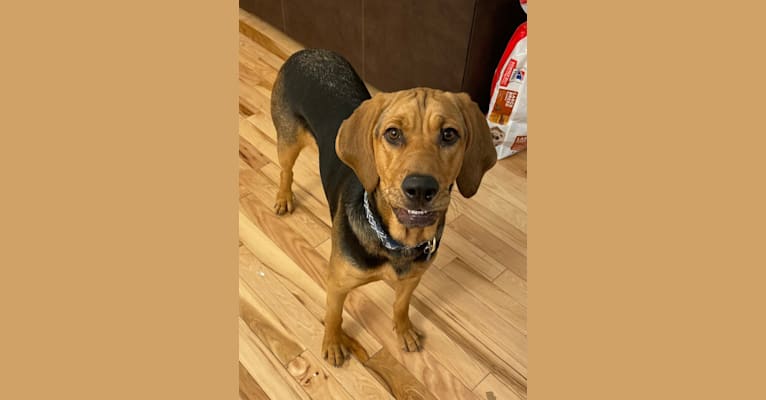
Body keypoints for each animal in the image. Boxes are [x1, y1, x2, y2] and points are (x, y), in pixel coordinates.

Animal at [270, 48, 498, 368]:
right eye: (393, 134)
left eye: (449, 134)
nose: (420, 189)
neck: (397, 242)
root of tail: (308, 52)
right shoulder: (337, 283)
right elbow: (334, 315)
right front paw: (333, 343)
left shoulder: (412, 279)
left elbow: (401, 306)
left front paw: (403, 331)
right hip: (288, 141)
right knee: (285, 171)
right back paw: (283, 198)